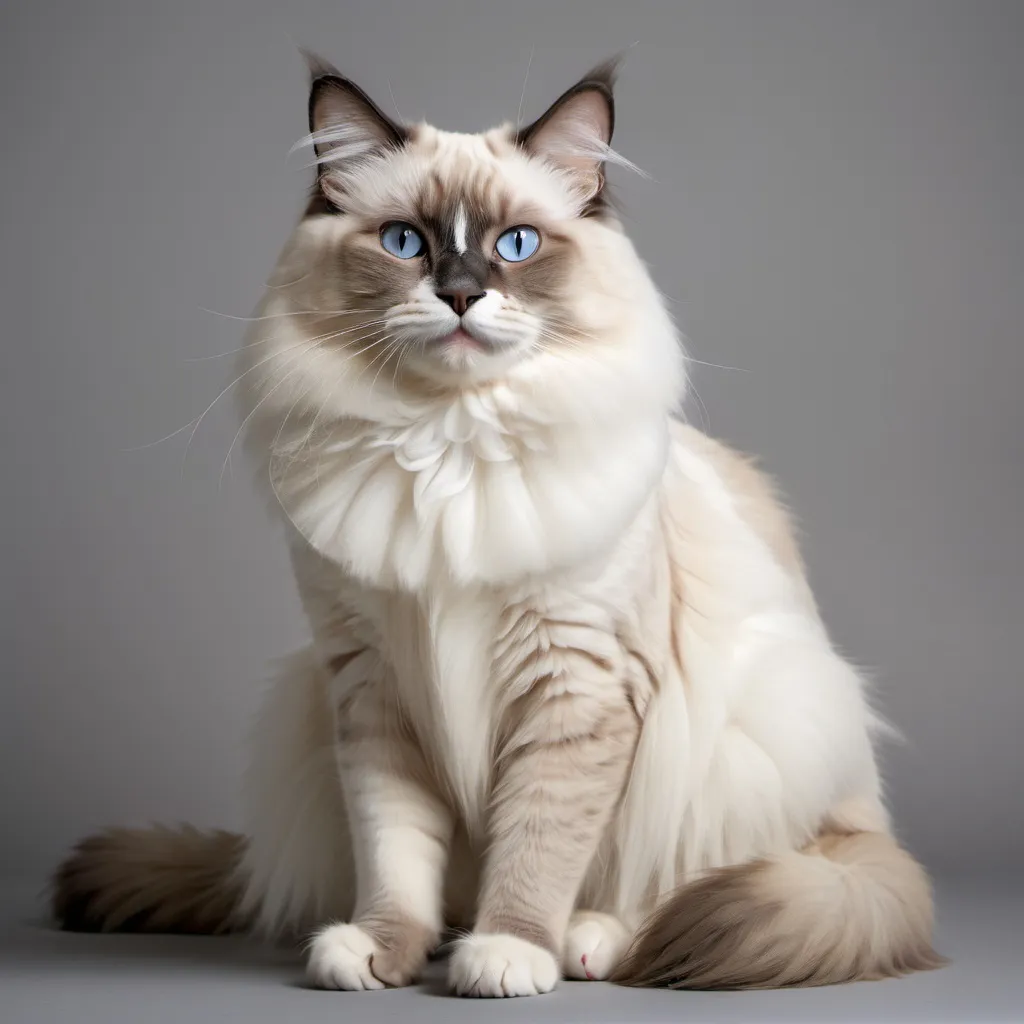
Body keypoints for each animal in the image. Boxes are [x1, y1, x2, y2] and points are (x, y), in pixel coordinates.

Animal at [49, 54, 942, 991]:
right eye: (404, 242)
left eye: (516, 244)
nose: (462, 295)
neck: (447, 444)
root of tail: (867, 821)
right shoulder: (372, 686)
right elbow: (395, 854)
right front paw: (385, 950)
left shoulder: (577, 687)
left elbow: (536, 848)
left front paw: (508, 952)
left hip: (750, 734)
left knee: (685, 889)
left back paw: (588, 941)